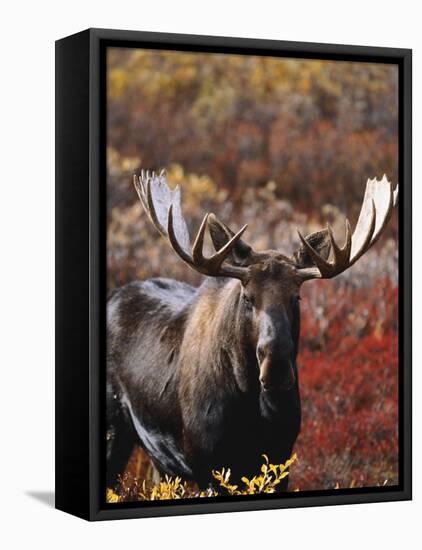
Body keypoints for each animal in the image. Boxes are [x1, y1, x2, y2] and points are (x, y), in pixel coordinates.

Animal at [107, 172, 398, 492]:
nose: (277, 367)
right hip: (114, 431)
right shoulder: (207, 464)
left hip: (161, 462)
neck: (250, 405)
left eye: (296, 297)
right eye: (247, 297)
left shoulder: (280, 458)